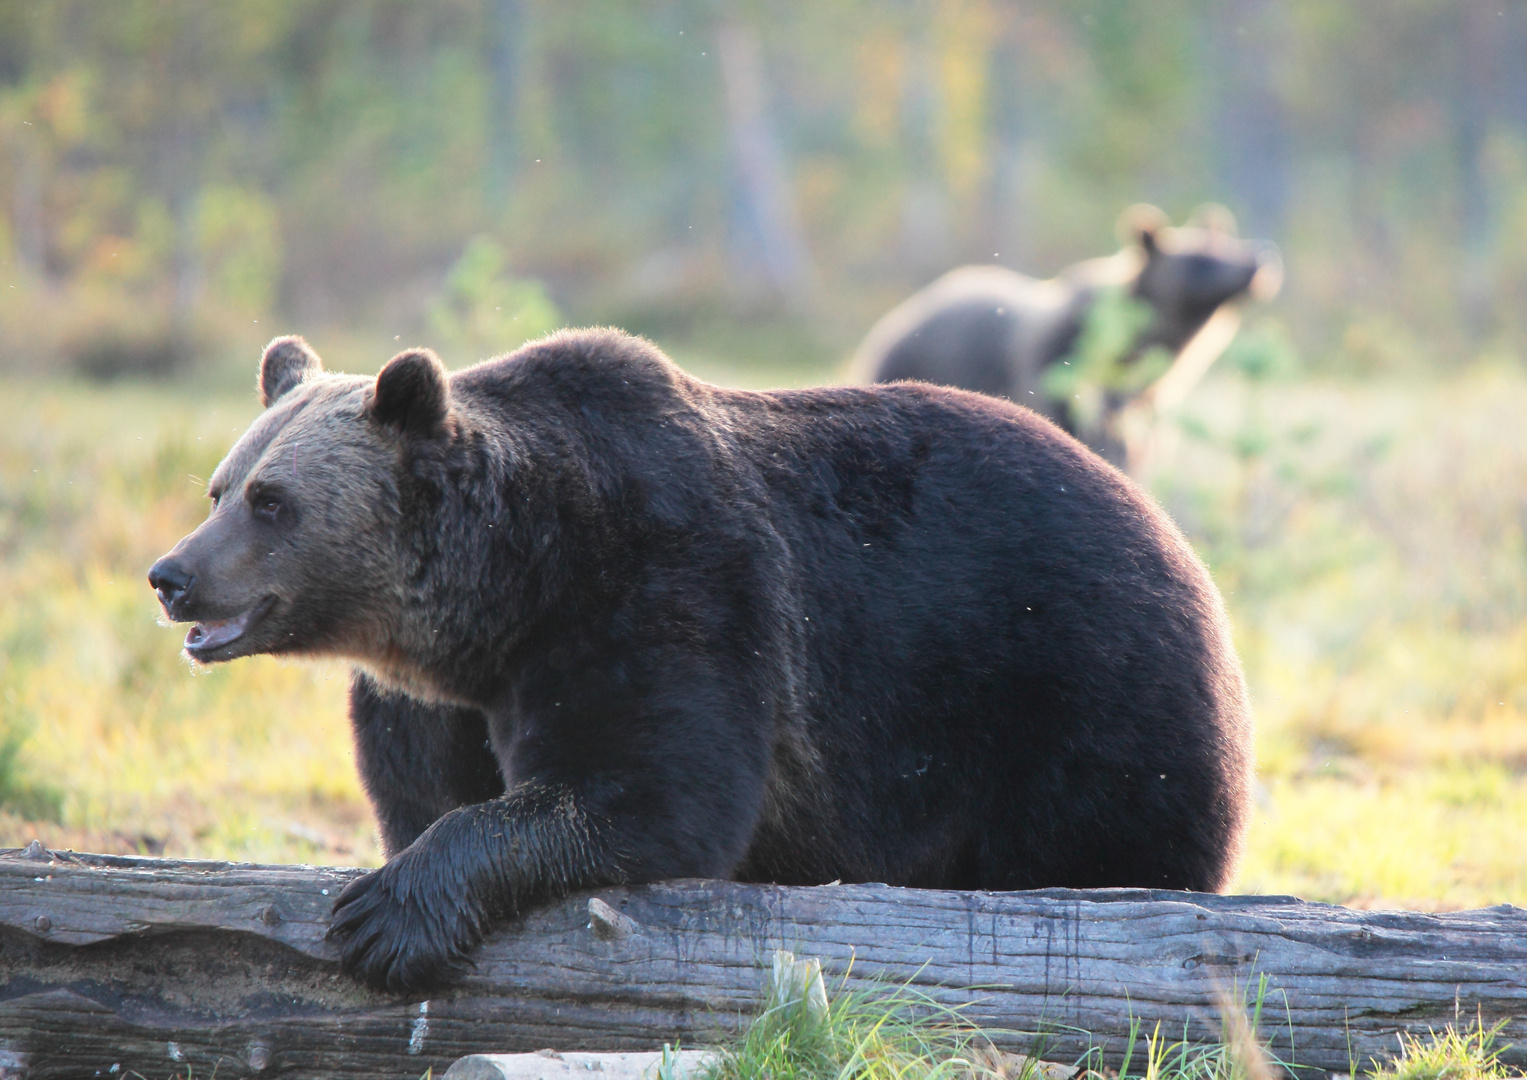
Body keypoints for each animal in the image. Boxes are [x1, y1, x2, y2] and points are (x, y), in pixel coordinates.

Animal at [148, 329, 1258, 995]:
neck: (501, 588)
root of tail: (1177, 543)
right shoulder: (435, 698)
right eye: (221, 486)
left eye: (273, 503)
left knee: (1105, 841)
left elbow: (651, 790)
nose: (172, 577)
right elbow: (430, 788)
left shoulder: (662, 586)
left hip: (1077, 685)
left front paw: (386, 918)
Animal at [855, 204, 1282, 467]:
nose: (1258, 261)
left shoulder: (1147, 387)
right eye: (1200, 257)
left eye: (1225, 241)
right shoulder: (1056, 359)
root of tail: (889, 324)